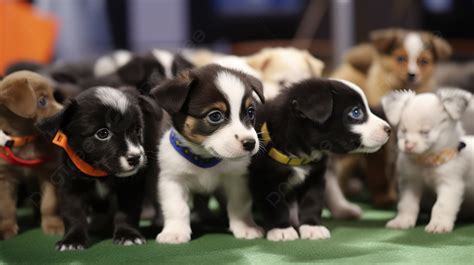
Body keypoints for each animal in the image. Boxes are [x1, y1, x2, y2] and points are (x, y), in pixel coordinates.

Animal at [0, 70, 64, 239]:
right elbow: (6, 207)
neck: (26, 140)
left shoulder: (48, 173)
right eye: (42, 101)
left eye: (54, 96)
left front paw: (53, 225)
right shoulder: (5, 177)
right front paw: (6, 229)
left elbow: (49, 204)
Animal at [37, 86, 159, 250]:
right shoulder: (71, 187)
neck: (100, 174)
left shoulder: (130, 187)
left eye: (137, 129)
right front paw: (72, 240)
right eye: (102, 133)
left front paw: (128, 235)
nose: (135, 158)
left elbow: (127, 213)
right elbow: (73, 214)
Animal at [151, 63, 264, 242]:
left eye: (250, 112)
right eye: (215, 116)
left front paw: (245, 227)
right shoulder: (172, 179)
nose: (250, 143)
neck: (204, 157)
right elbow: (177, 207)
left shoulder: (237, 179)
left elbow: (239, 205)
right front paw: (175, 232)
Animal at [250, 77, 390, 240]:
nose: (388, 129)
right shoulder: (264, 181)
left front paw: (312, 226)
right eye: (356, 112)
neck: (300, 155)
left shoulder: (315, 177)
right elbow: (275, 207)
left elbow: (312, 202)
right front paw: (282, 229)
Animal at [384, 87, 472, 232]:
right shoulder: (410, 183)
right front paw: (403, 221)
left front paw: (439, 224)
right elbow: (407, 204)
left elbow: (441, 205)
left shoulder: (450, 184)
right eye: (403, 131)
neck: (427, 161)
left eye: (425, 132)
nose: (408, 146)